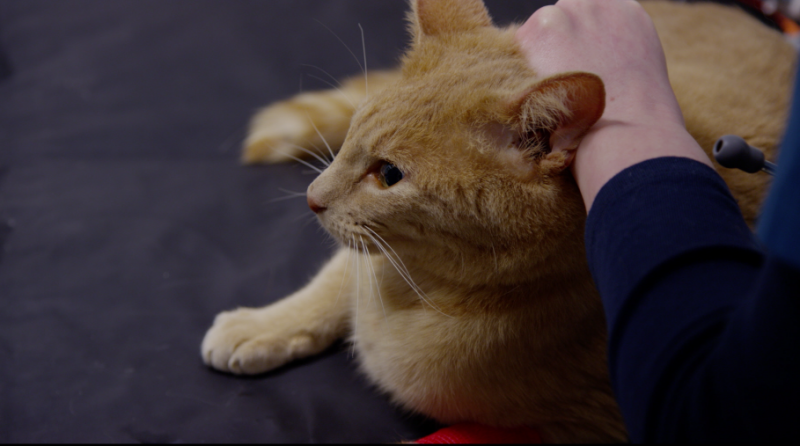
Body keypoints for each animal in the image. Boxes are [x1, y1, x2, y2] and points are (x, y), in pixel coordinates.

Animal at [202, 0, 792, 442]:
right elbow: (331, 282)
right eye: (351, 138)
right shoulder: (365, 262)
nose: (312, 198)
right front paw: (264, 326)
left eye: (389, 174)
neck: (414, 291)